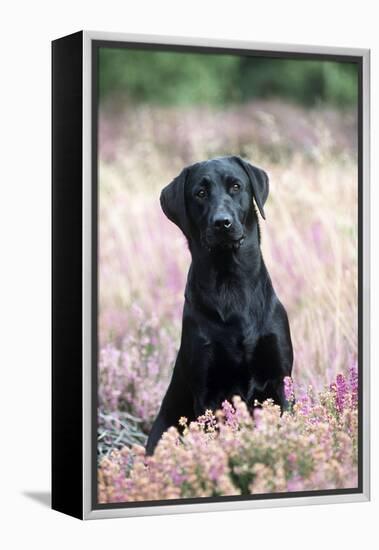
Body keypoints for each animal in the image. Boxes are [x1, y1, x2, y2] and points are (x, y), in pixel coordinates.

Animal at [146, 156, 294, 458]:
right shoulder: (208, 392)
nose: (222, 223)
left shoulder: (280, 379)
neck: (231, 283)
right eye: (200, 193)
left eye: (236, 186)